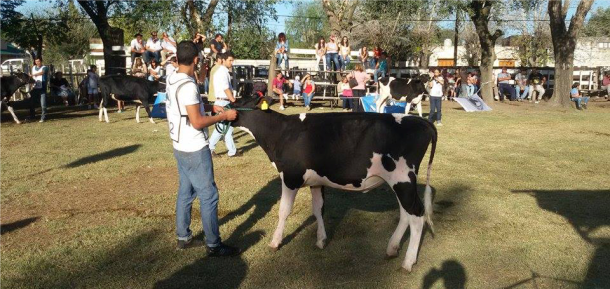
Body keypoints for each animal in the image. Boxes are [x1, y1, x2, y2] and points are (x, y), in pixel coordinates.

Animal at [230, 94, 434, 270]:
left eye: (240, 100)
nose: (224, 109)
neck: (281, 133)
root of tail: (420, 121)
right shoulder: (316, 181)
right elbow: (318, 209)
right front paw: (321, 240)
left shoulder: (290, 177)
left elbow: (284, 211)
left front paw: (275, 242)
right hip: (400, 183)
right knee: (405, 213)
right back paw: (392, 248)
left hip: (403, 180)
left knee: (417, 215)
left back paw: (408, 261)